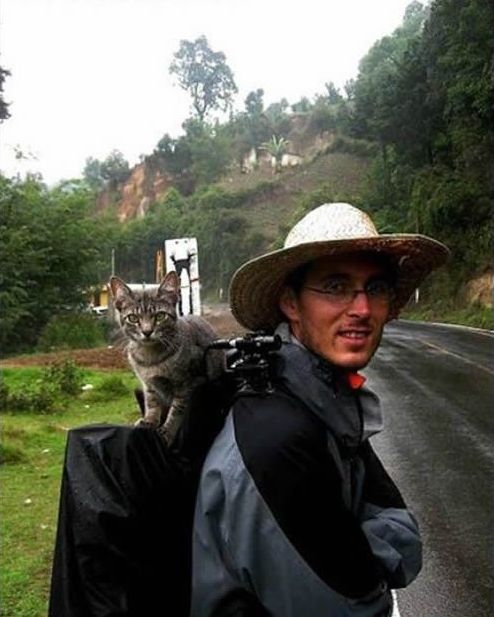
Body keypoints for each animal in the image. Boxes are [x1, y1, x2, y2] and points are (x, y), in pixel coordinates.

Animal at [110, 270, 224, 442]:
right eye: (133, 318)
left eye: (160, 316)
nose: (147, 331)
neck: (151, 359)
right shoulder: (148, 384)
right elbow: (151, 403)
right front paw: (150, 421)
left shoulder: (187, 385)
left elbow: (177, 410)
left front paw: (167, 431)